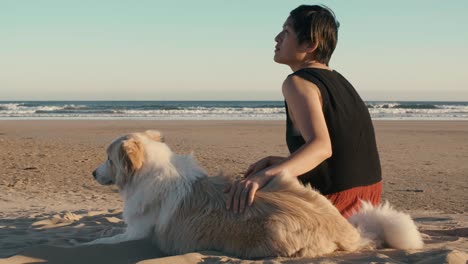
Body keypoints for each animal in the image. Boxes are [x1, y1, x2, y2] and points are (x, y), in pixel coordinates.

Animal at [88, 130, 424, 258]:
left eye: (107, 158)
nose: (91, 173)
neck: (146, 171)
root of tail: (346, 231)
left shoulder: (137, 233)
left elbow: (104, 240)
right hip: (283, 179)